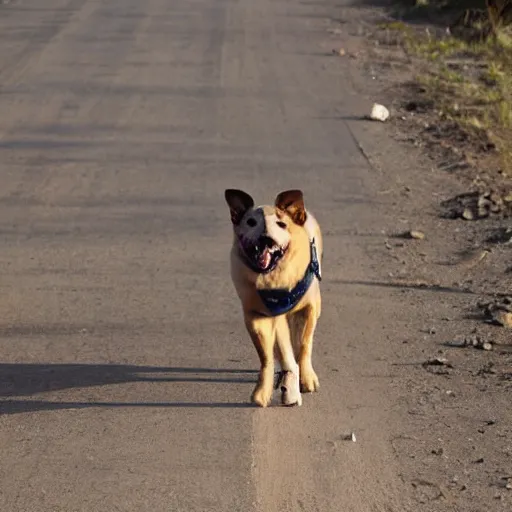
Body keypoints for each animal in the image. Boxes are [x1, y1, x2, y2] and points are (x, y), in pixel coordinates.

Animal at [223, 188, 322, 408]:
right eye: (251, 222)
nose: (265, 238)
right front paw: (263, 391)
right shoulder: (257, 315)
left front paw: (306, 379)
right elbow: (267, 355)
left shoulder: (308, 308)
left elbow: (304, 344)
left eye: (281, 224)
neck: (275, 278)